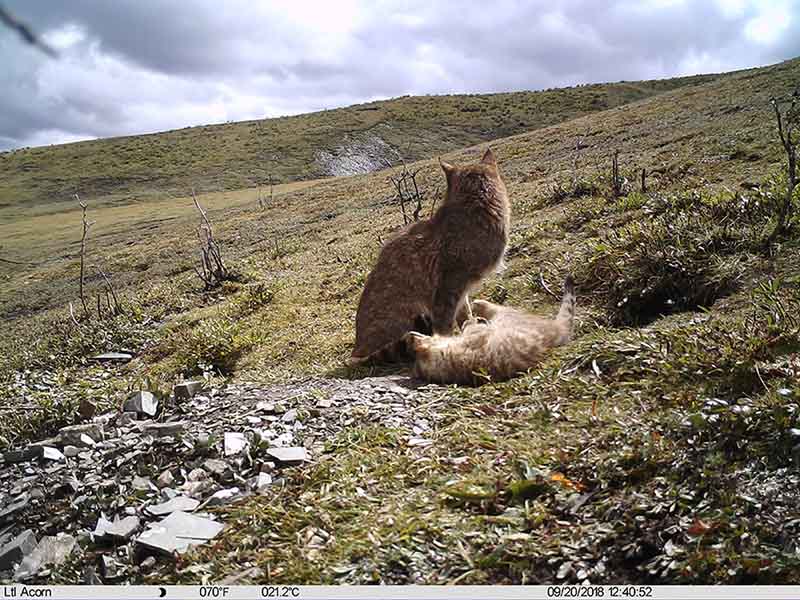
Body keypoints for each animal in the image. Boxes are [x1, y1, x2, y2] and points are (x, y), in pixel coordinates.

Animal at [348, 149, 510, 366]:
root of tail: (357, 353)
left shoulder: (460, 290)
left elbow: (464, 312)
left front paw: (471, 326)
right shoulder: (448, 286)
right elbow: (445, 325)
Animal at [406, 276, 576, 384]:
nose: (410, 335)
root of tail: (558, 330)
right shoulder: (476, 336)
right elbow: (473, 326)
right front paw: (472, 321)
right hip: (508, 315)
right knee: (493, 308)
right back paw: (479, 305)